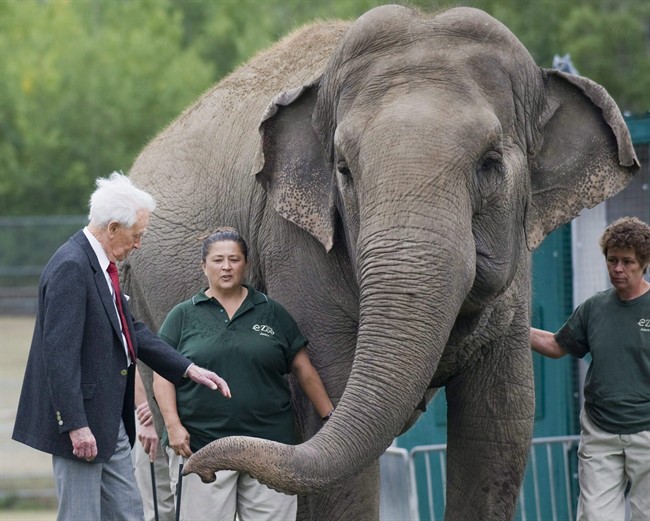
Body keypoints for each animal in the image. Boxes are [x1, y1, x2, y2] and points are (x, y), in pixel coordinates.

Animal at [123, 5, 638, 521]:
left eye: (490, 163)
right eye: (344, 170)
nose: (201, 468)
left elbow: (499, 426)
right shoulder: (292, 244)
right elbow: (331, 413)